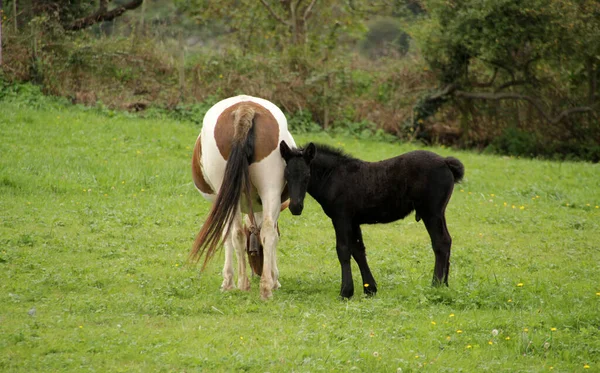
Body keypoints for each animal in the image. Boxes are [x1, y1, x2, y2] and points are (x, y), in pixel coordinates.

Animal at [190, 96, 296, 300]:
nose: (259, 271)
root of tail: (245, 108)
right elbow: (271, 234)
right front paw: (273, 278)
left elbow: (227, 236)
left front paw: (228, 281)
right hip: (270, 189)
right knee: (266, 230)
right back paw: (265, 287)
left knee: (239, 233)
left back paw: (247, 283)